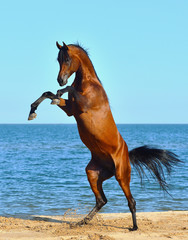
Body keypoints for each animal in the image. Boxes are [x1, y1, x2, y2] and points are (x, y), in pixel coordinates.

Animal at [27, 41, 181, 231]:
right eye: (58, 59)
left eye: (67, 59)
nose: (60, 79)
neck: (88, 84)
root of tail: (127, 154)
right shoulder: (71, 110)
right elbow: (47, 93)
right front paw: (33, 111)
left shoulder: (82, 106)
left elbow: (62, 91)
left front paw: (58, 92)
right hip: (93, 174)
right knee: (102, 200)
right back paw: (81, 222)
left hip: (122, 176)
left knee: (131, 201)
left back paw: (134, 227)